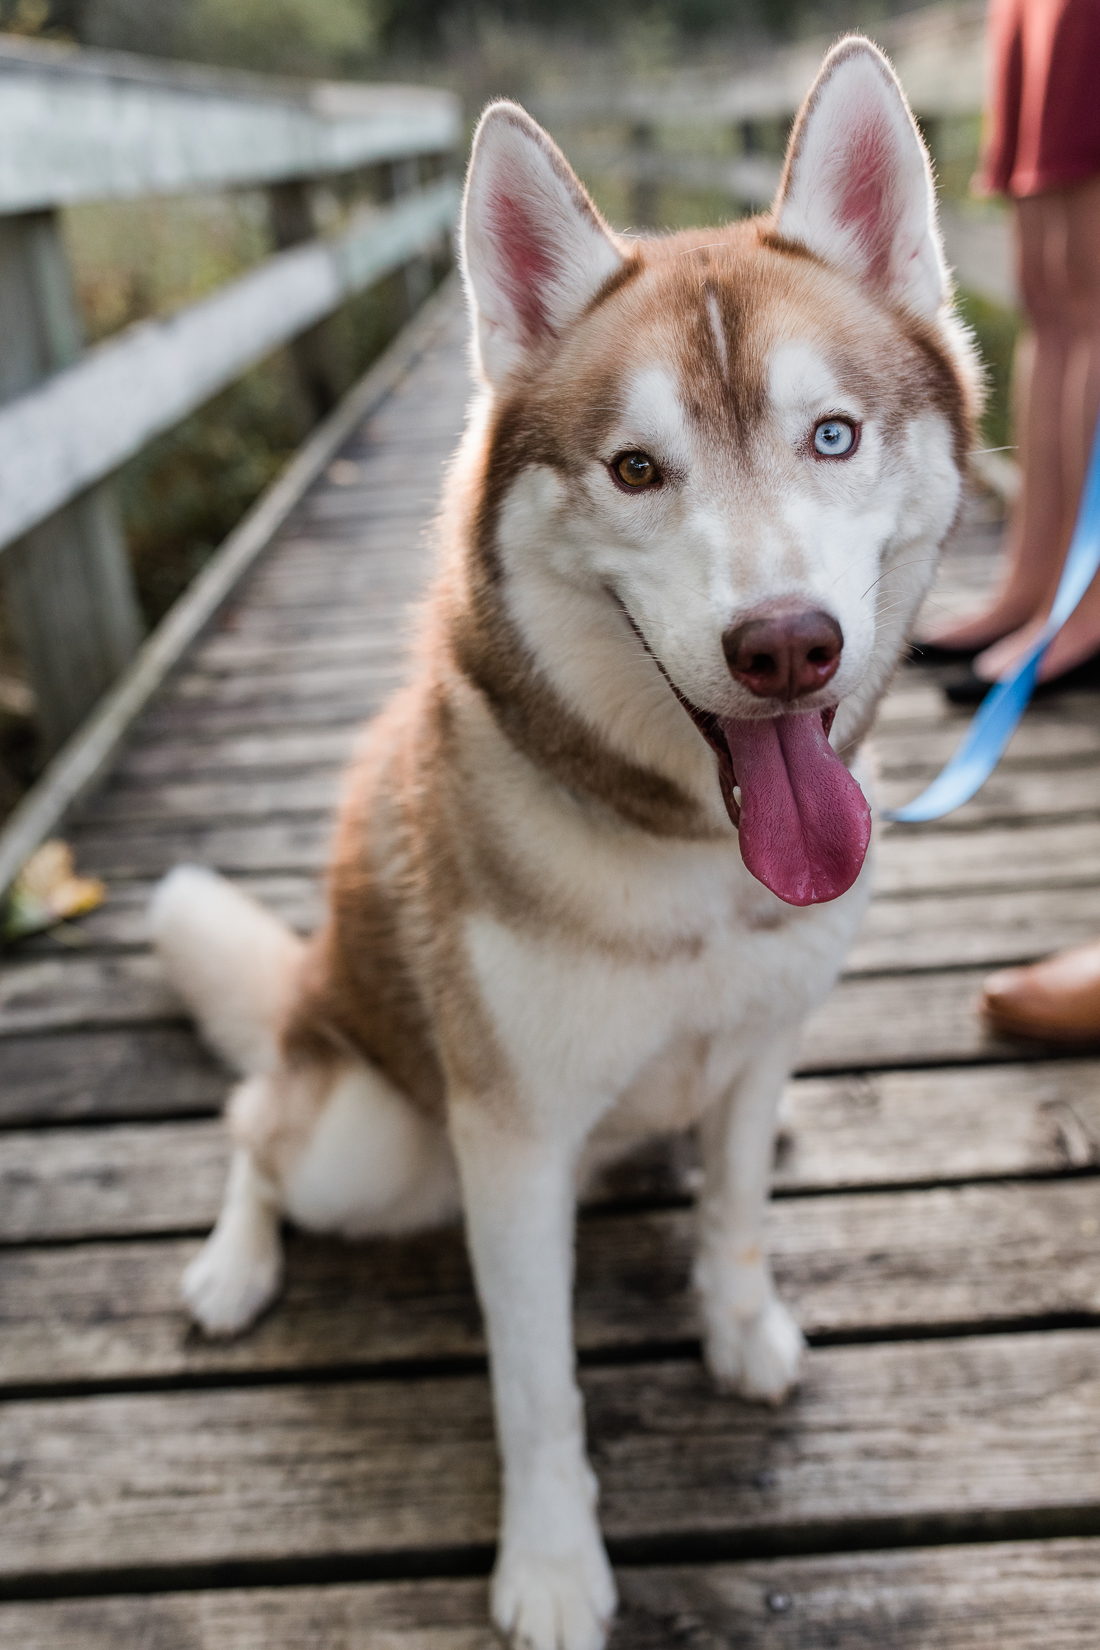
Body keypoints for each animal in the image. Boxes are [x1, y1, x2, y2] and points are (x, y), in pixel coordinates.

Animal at [150, 35, 976, 1650]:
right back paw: (233, 1262)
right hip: (372, 1144)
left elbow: (735, 1216)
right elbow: (537, 1393)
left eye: (832, 435)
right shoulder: (514, 1143)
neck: (697, 863)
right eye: (637, 470)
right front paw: (548, 1566)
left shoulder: (760, 1037)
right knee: (254, 1126)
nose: (786, 645)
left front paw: (742, 1328)